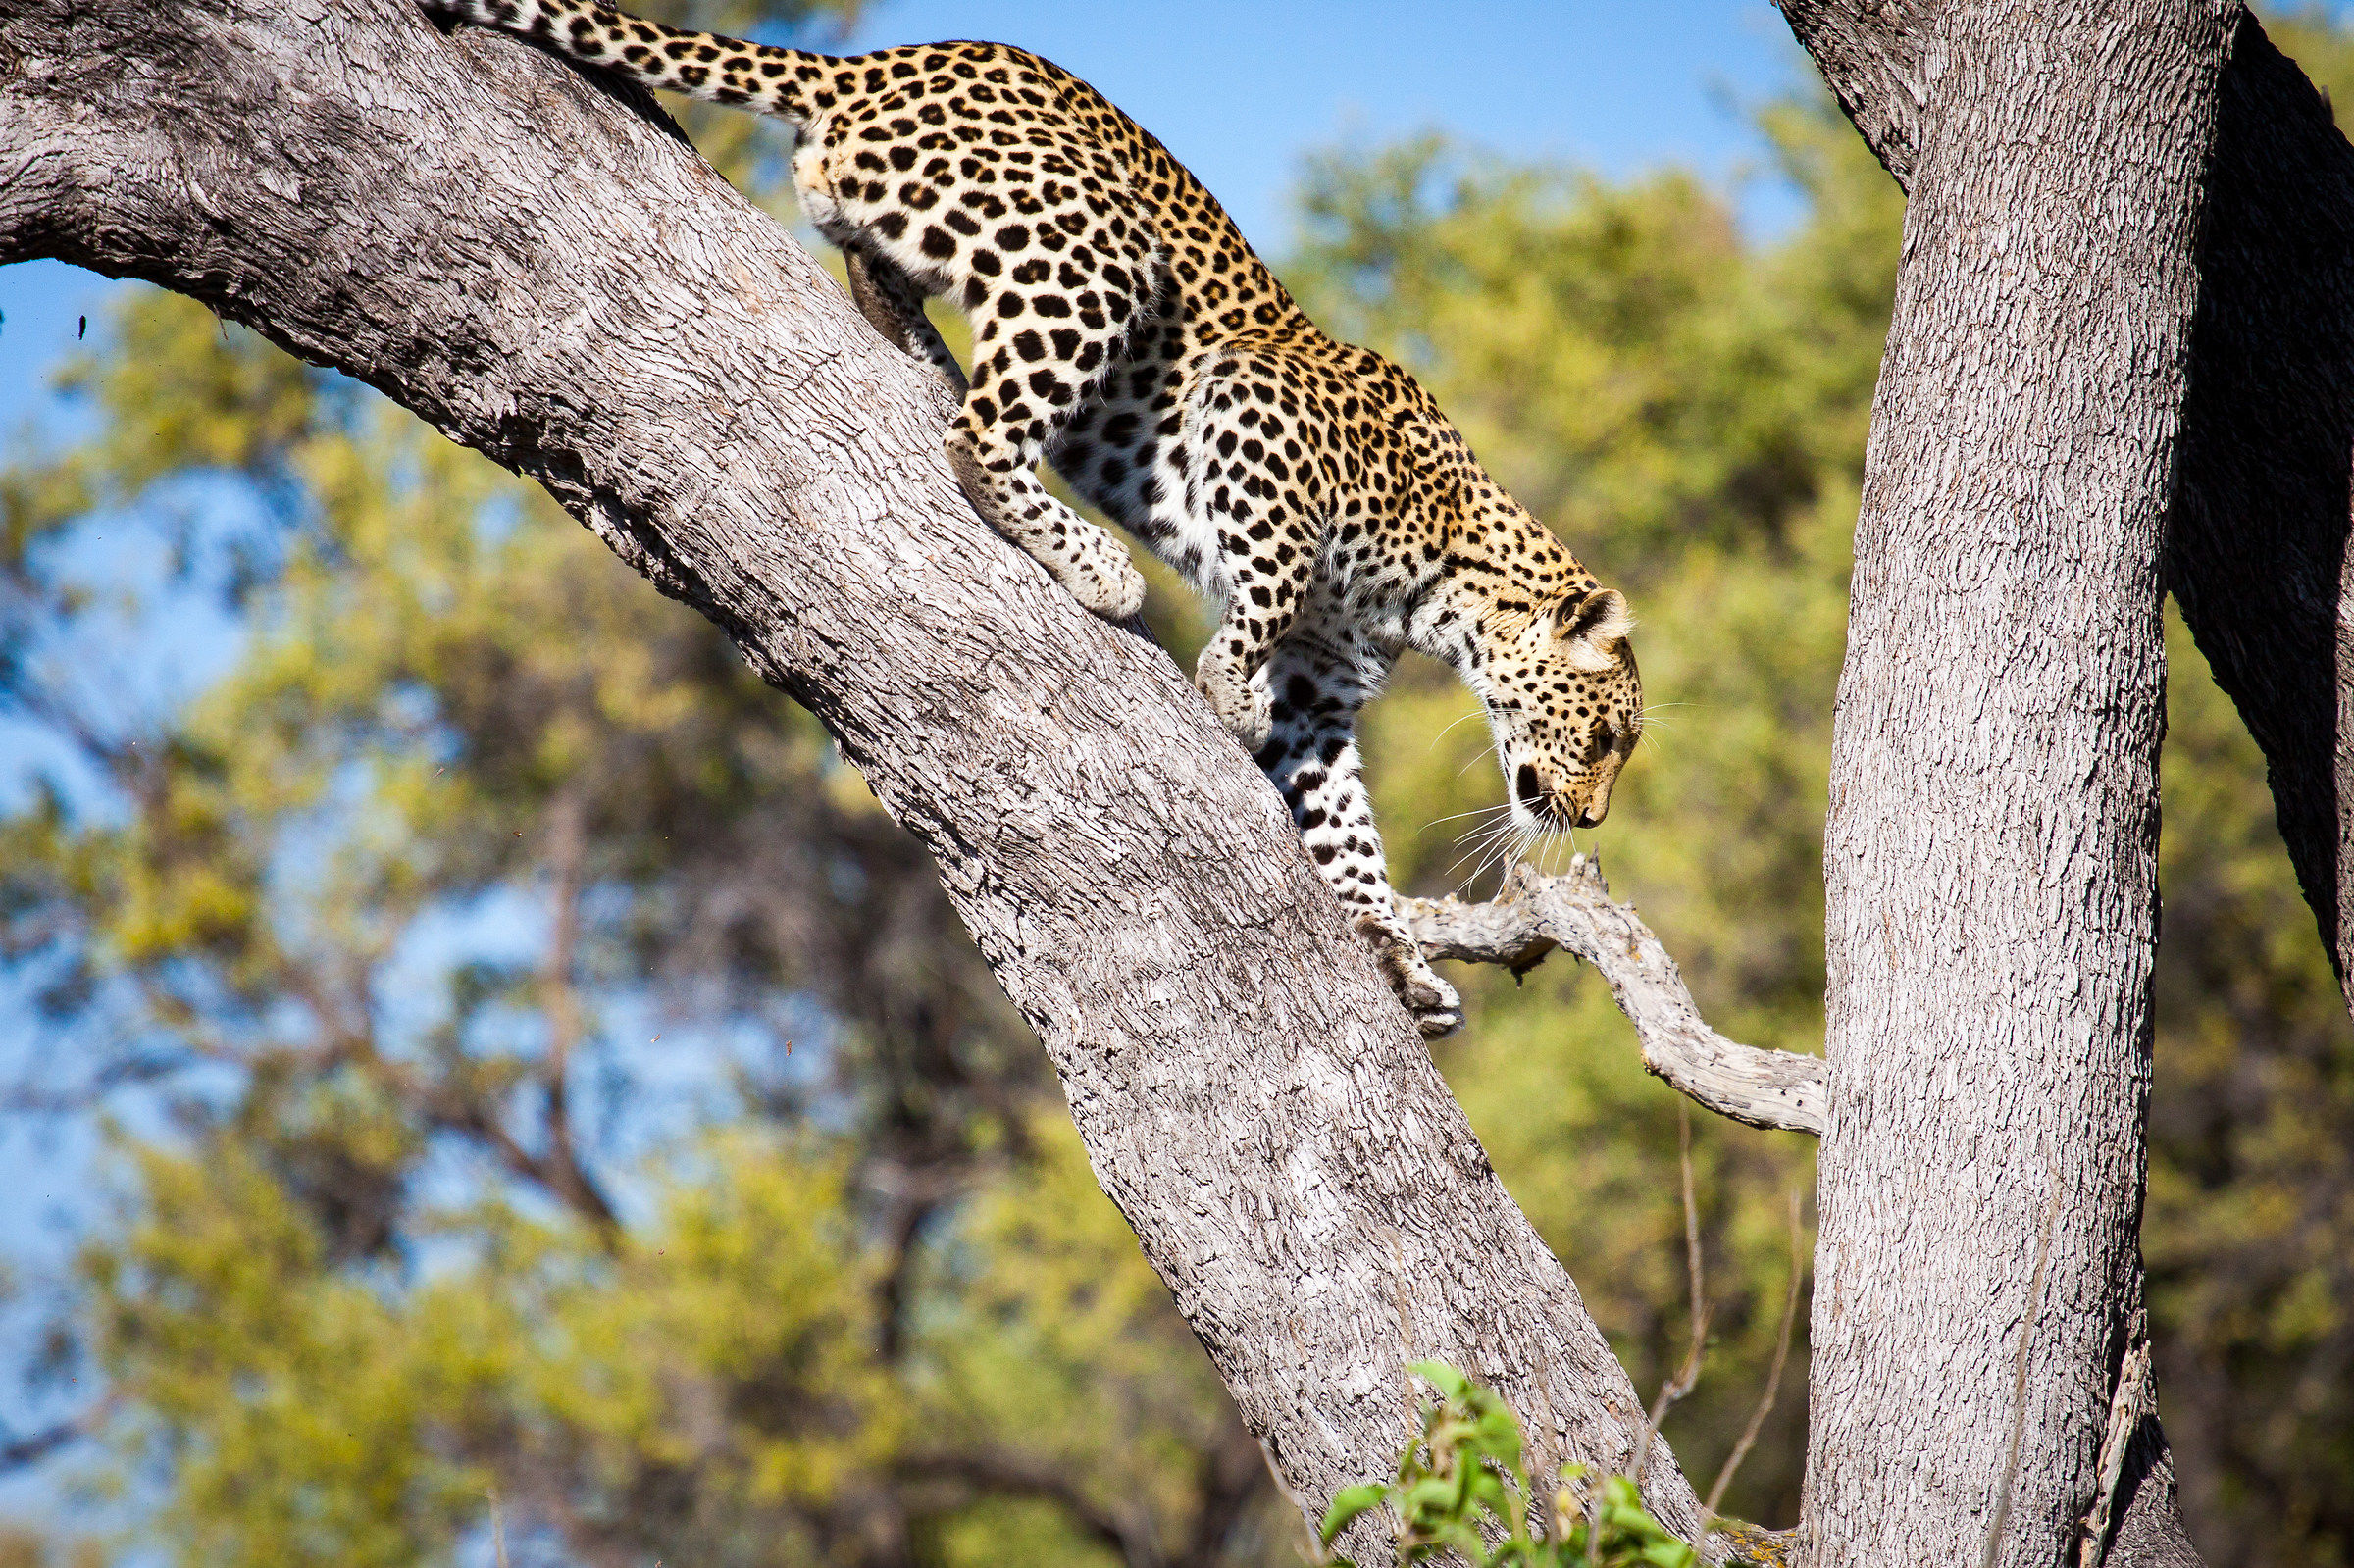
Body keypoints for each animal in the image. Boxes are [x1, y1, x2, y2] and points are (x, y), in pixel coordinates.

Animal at [419, 0, 1644, 1037]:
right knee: (978, 438)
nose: (1591, 824)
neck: (1447, 590)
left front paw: (1395, 955)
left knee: (869, 259)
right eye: (1607, 740)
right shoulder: (1255, 413)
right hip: (1101, 252)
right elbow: (1269, 583)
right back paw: (1092, 561)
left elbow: (1344, 826)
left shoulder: (1326, 685)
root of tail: (883, 62)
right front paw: (1223, 692)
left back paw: (919, 347)